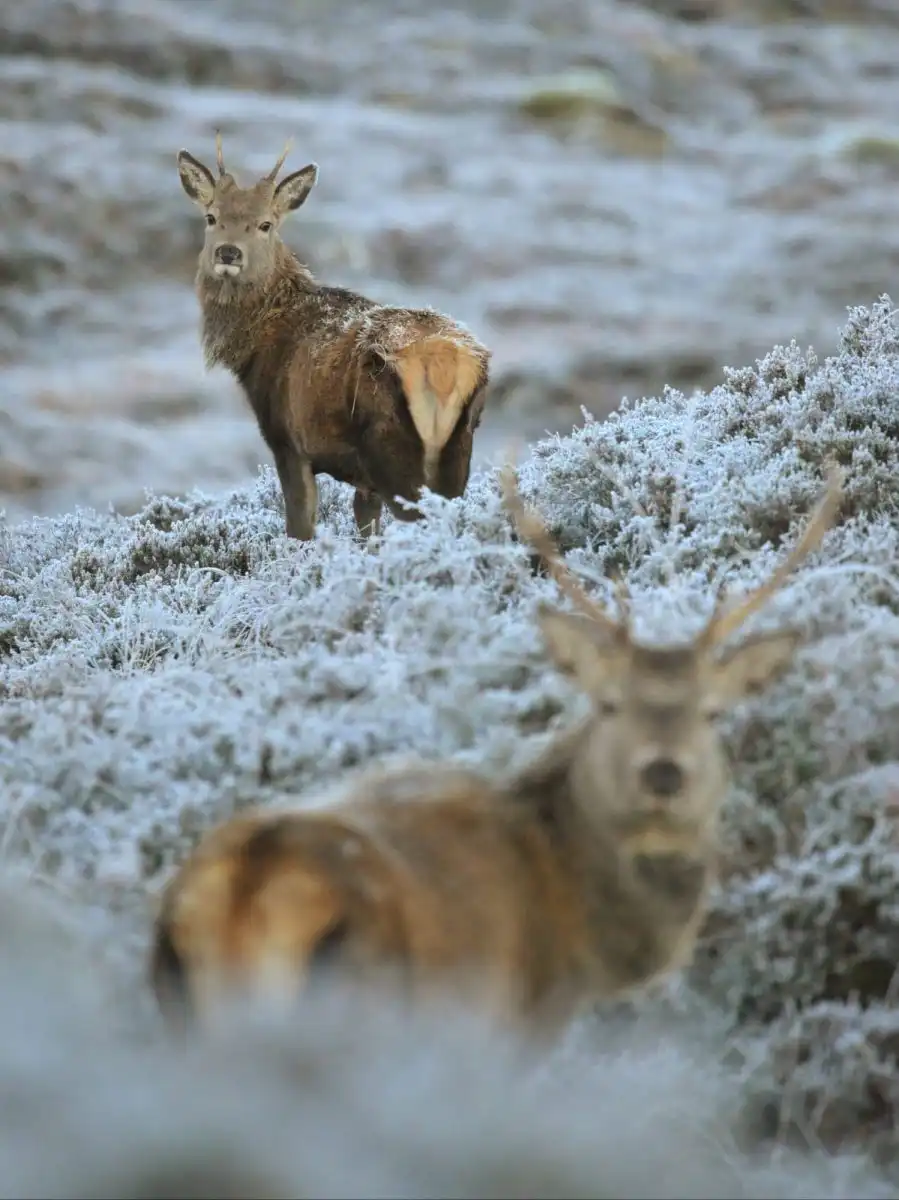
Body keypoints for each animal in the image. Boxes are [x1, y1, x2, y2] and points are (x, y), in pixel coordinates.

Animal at [176, 133, 492, 540]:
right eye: (211, 217)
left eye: (265, 224)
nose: (228, 253)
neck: (257, 345)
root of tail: (442, 365)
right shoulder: (363, 480)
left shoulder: (287, 439)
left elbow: (300, 527)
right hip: (459, 447)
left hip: (391, 446)